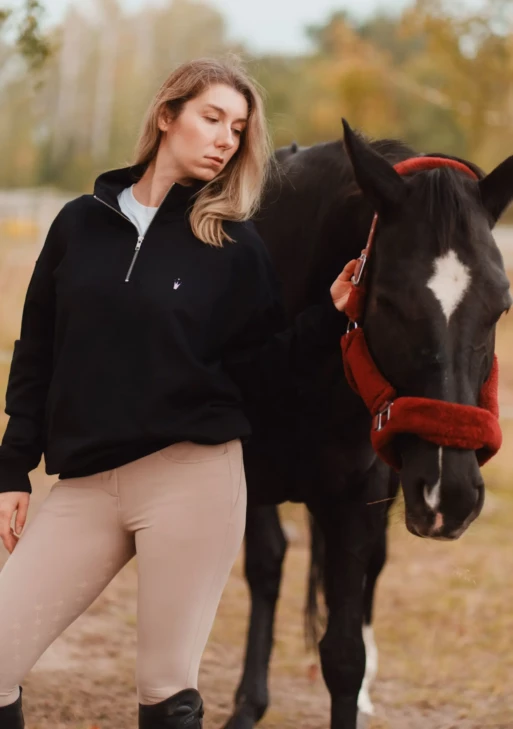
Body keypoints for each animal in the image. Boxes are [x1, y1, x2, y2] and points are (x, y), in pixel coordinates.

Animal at [221, 121, 513, 729]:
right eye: (388, 302)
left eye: (500, 305)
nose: (451, 493)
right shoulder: (243, 476)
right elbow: (265, 567)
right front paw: (246, 705)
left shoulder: (361, 495)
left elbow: (343, 654)